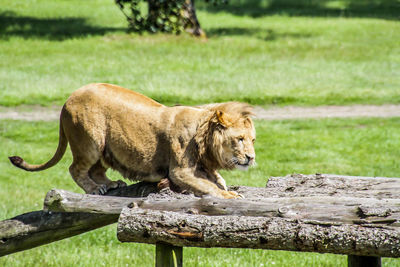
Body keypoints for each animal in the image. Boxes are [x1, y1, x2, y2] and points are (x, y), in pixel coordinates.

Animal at [9, 84, 256, 199]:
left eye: (253, 140)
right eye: (239, 139)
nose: (251, 158)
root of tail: (67, 100)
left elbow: (217, 179)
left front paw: (225, 185)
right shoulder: (180, 171)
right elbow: (209, 186)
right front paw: (230, 195)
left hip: (105, 148)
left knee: (96, 170)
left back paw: (111, 184)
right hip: (90, 142)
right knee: (75, 169)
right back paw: (95, 189)